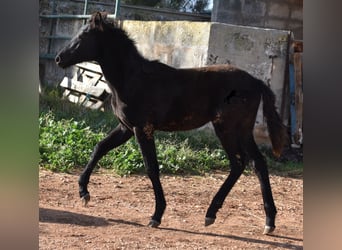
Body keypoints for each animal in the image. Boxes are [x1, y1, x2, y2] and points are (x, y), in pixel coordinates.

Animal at [55, 11, 286, 234]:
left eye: (83, 36)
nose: (58, 58)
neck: (133, 79)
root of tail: (256, 82)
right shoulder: (126, 128)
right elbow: (100, 148)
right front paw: (84, 193)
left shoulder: (142, 129)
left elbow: (151, 168)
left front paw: (156, 216)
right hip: (241, 130)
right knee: (255, 163)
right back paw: (261, 220)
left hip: (227, 128)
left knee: (241, 163)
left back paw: (222, 215)